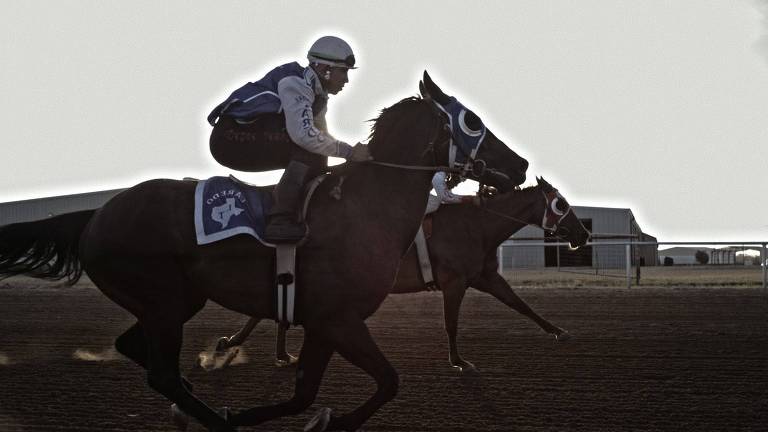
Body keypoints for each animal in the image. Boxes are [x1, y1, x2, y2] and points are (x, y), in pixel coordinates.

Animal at [0, 71, 528, 432]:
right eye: (472, 121)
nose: (521, 164)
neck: (365, 208)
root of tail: (96, 213)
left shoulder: (322, 322)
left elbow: (307, 395)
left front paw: (317, 419)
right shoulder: (338, 318)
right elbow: (386, 380)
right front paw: (307, 420)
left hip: (175, 301)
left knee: (139, 352)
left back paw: (192, 403)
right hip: (164, 302)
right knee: (161, 374)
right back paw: (210, 418)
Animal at [213, 177, 592, 372]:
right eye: (561, 204)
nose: (583, 234)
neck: (477, 226)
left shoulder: (485, 277)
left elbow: (522, 305)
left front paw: (560, 332)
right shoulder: (454, 283)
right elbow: (450, 323)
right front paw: (458, 360)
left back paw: (274, 353)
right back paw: (234, 343)